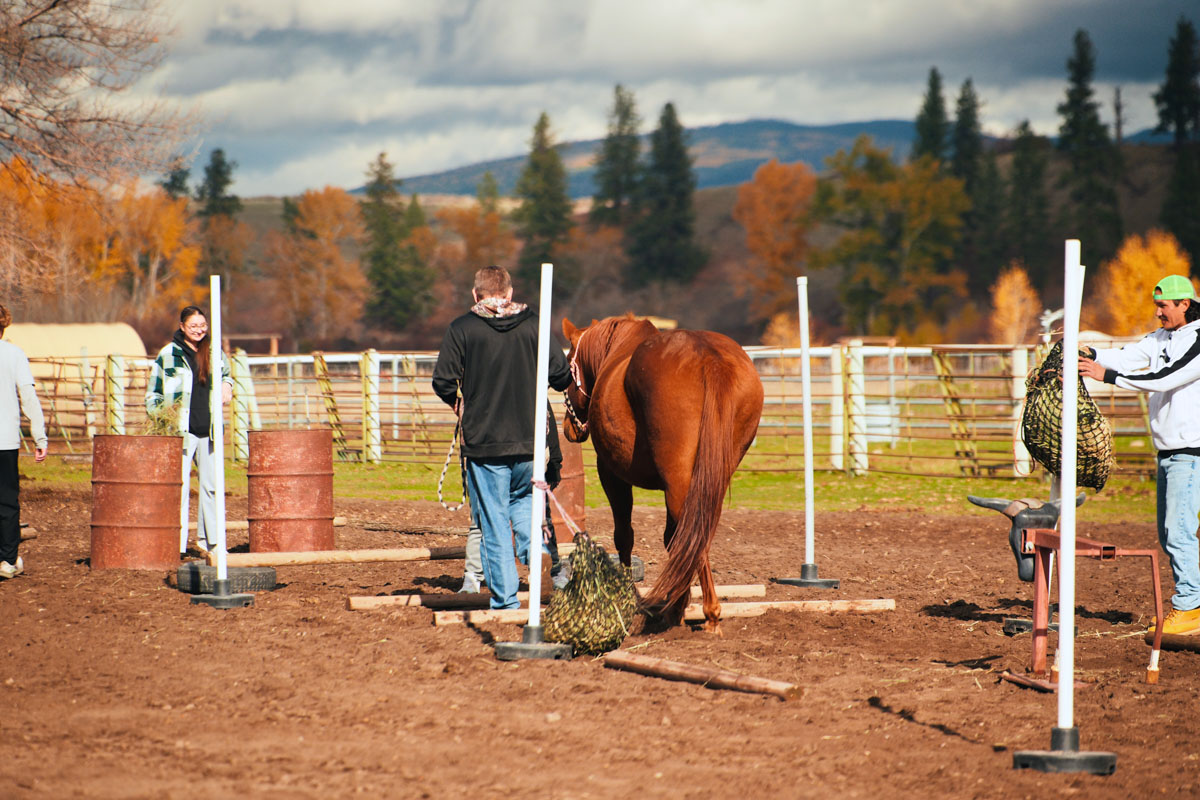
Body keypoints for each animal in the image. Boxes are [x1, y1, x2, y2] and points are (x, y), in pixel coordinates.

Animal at [560, 313, 764, 633]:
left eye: (569, 365)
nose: (568, 427)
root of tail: (709, 359)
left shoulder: (612, 475)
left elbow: (624, 536)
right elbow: (670, 538)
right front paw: (676, 606)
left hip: (679, 481)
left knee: (692, 536)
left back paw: (710, 612)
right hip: (707, 480)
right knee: (693, 535)